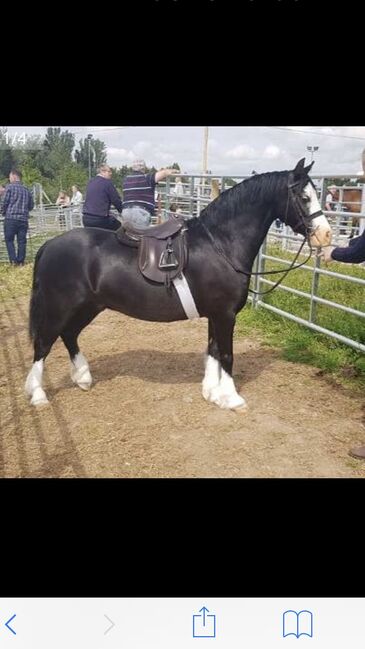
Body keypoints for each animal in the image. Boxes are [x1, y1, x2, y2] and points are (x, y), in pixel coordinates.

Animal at [25, 159, 332, 408]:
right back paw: (38, 394)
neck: (221, 244)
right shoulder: (225, 315)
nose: (326, 235)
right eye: (304, 196)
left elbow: (213, 351)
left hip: (89, 306)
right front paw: (231, 398)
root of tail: (50, 245)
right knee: (43, 344)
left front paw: (211, 392)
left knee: (69, 335)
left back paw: (83, 378)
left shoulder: (215, 315)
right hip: (61, 306)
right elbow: (227, 355)